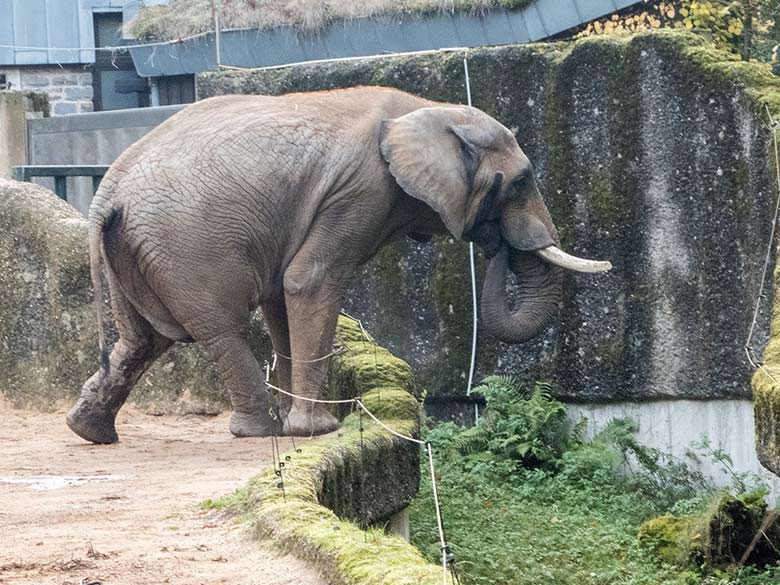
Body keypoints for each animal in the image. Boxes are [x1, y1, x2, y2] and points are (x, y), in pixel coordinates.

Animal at [65, 85, 608, 442]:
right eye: (520, 182)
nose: (496, 240)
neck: (427, 110)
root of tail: (107, 190)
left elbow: (282, 297)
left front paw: (301, 421)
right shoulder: (361, 191)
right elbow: (308, 282)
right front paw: (316, 430)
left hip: (135, 250)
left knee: (143, 339)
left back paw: (90, 432)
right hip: (186, 247)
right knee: (219, 328)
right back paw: (258, 432)